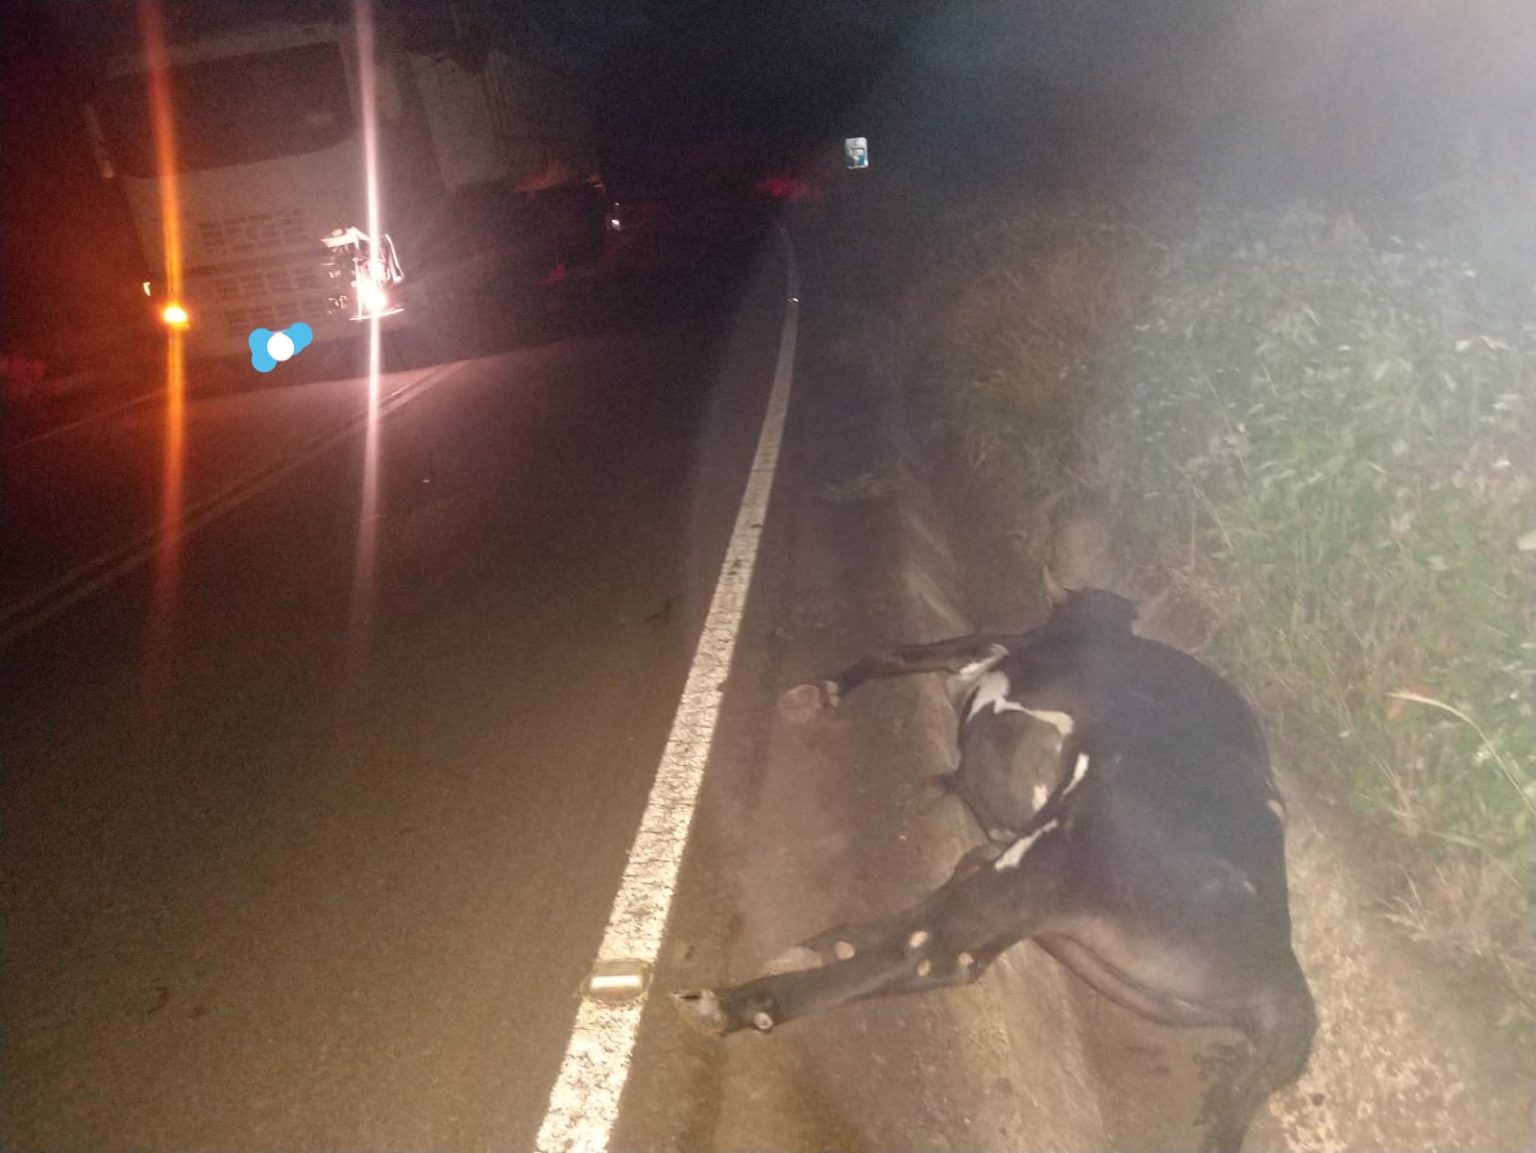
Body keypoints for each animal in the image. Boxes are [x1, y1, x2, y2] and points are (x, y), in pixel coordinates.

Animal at [673, 582, 1316, 1153]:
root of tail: (1286, 982)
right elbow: (899, 654)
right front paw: (821, 690)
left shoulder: (989, 648)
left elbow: (901, 651)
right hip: (1040, 880)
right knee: (947, 934)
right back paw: (826, 946)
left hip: (1069, 850)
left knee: (927, 948)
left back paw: (741, 1002)